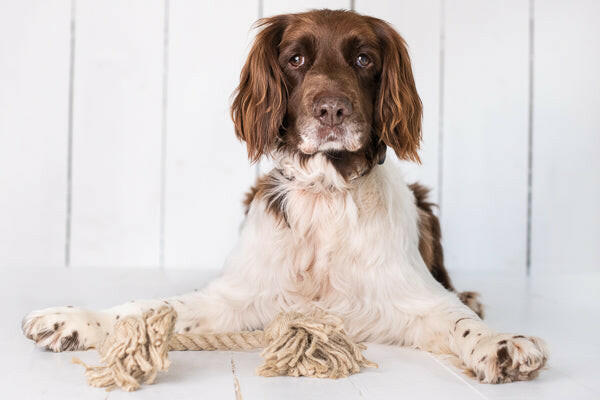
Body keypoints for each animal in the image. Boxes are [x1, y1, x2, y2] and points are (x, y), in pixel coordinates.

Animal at [23, 10, 548, 384]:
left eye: (364, 59)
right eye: (295, 60)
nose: (332, 110)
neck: (326, 194)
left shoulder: (415, 298)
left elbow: (458, 320)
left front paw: (502, 344)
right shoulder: (237, 298)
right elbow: (146, 309)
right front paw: (74, 319)